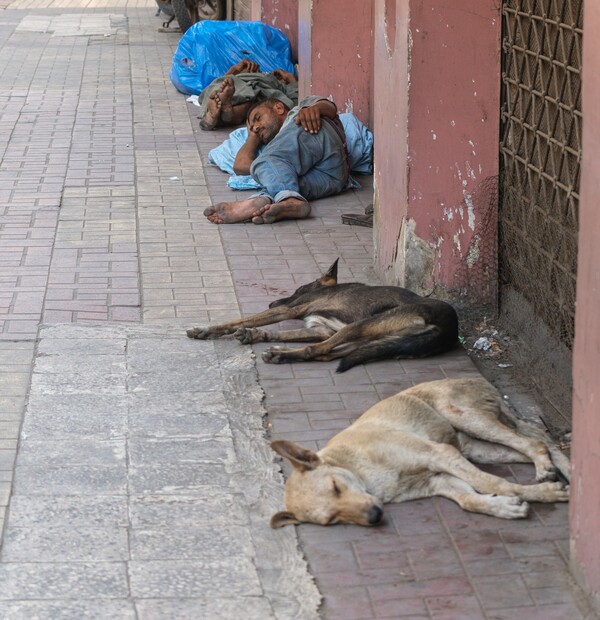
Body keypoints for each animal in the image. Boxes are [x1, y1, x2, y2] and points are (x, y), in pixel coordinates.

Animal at [188, 258, 460, 372]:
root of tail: (450, 327)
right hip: (375, 340)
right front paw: (254, 334)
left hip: (362, 325)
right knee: (327, 353)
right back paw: (283, 355)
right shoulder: (321, 328)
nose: (270, 302)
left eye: (298, 288)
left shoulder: (290, 309)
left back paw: (279, 354)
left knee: (318, 350)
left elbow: (238, 320)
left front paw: (207, 329)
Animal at [270, 378, 568, 528]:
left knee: (535, 443)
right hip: (478, 449)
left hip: (465, 418)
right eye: (331, 519)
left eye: (336, 487)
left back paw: (547, 470)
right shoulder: (439, 480)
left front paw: (545, 494)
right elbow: (469, 500)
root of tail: (474, 378)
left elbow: (493, 482)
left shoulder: (441, 454)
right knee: (541, 443)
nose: (374, 517)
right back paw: (559, 469)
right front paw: (505, 507)